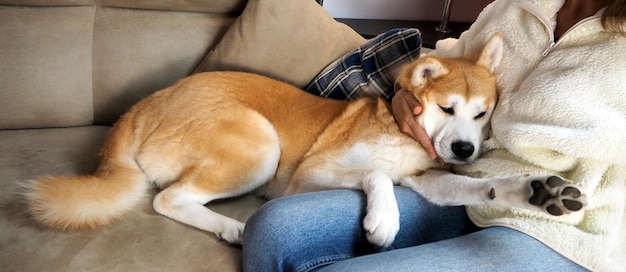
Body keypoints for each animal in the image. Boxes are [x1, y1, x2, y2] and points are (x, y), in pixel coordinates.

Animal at [24, 33, 584, 248]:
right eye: (448, 109)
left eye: (483, 115)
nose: (465, 150)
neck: (402, 131)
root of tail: (140, 107)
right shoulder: (310, 175)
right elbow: (375, 174)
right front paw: (384, 218)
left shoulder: (429, 179)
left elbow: (477, 188)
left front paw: (537, 190)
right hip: (261, 146)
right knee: (167, 198)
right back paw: (231, 228)